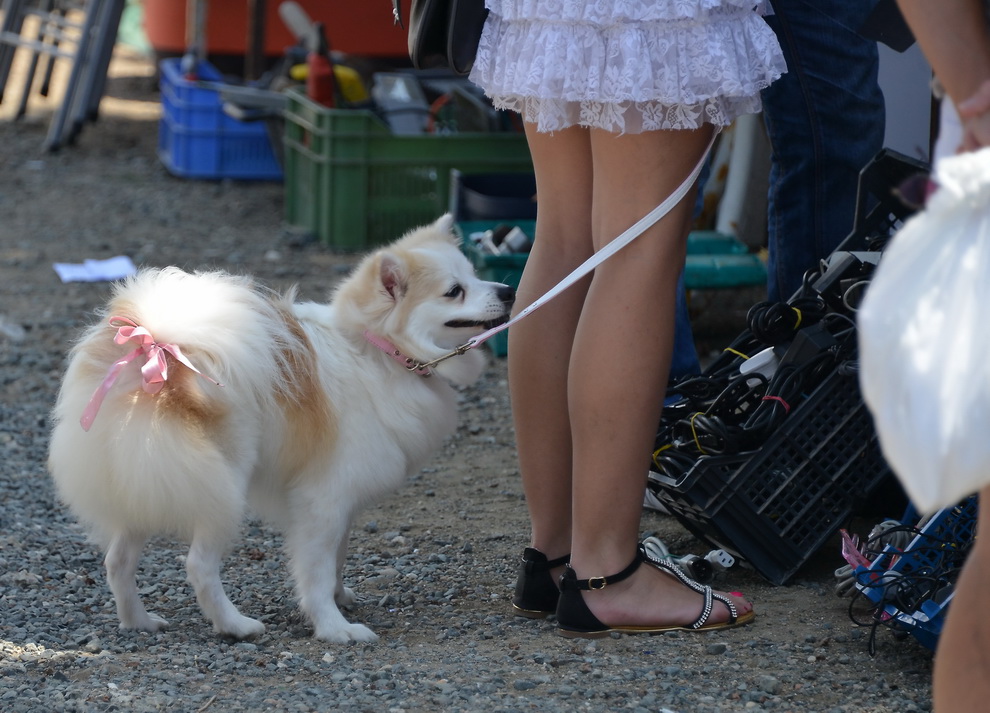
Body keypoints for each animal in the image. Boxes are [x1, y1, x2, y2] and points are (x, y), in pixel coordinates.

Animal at [47, 214, 516, 644]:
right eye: (454, 291)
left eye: (475, 274)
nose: (508, 290)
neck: (378, 350)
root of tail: (154, 350)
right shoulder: (322, 499)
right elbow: (316, 570)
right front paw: (334, 627)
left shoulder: (340, 503)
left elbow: (337, 559)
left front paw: (341, 598)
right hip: (221, 487)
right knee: (199, 565)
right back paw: (235, 625)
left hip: (148, 479)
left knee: (117, 561)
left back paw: (138, 621)